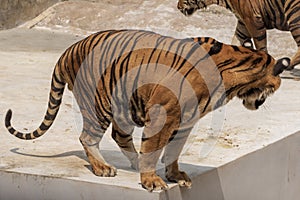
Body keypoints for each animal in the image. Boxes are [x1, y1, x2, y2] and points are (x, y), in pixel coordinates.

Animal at [4, 28, 290, 191]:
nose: (263, 100)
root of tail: (66, 51)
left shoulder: (186, 122)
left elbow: (173, 151)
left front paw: (175, 175)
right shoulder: (165, 115)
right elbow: (155, 147)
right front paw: (152, 181)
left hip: (123, 104)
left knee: (119, 135)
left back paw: (134, 163)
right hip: (100, 105)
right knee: (88, 137)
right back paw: (103, 167)